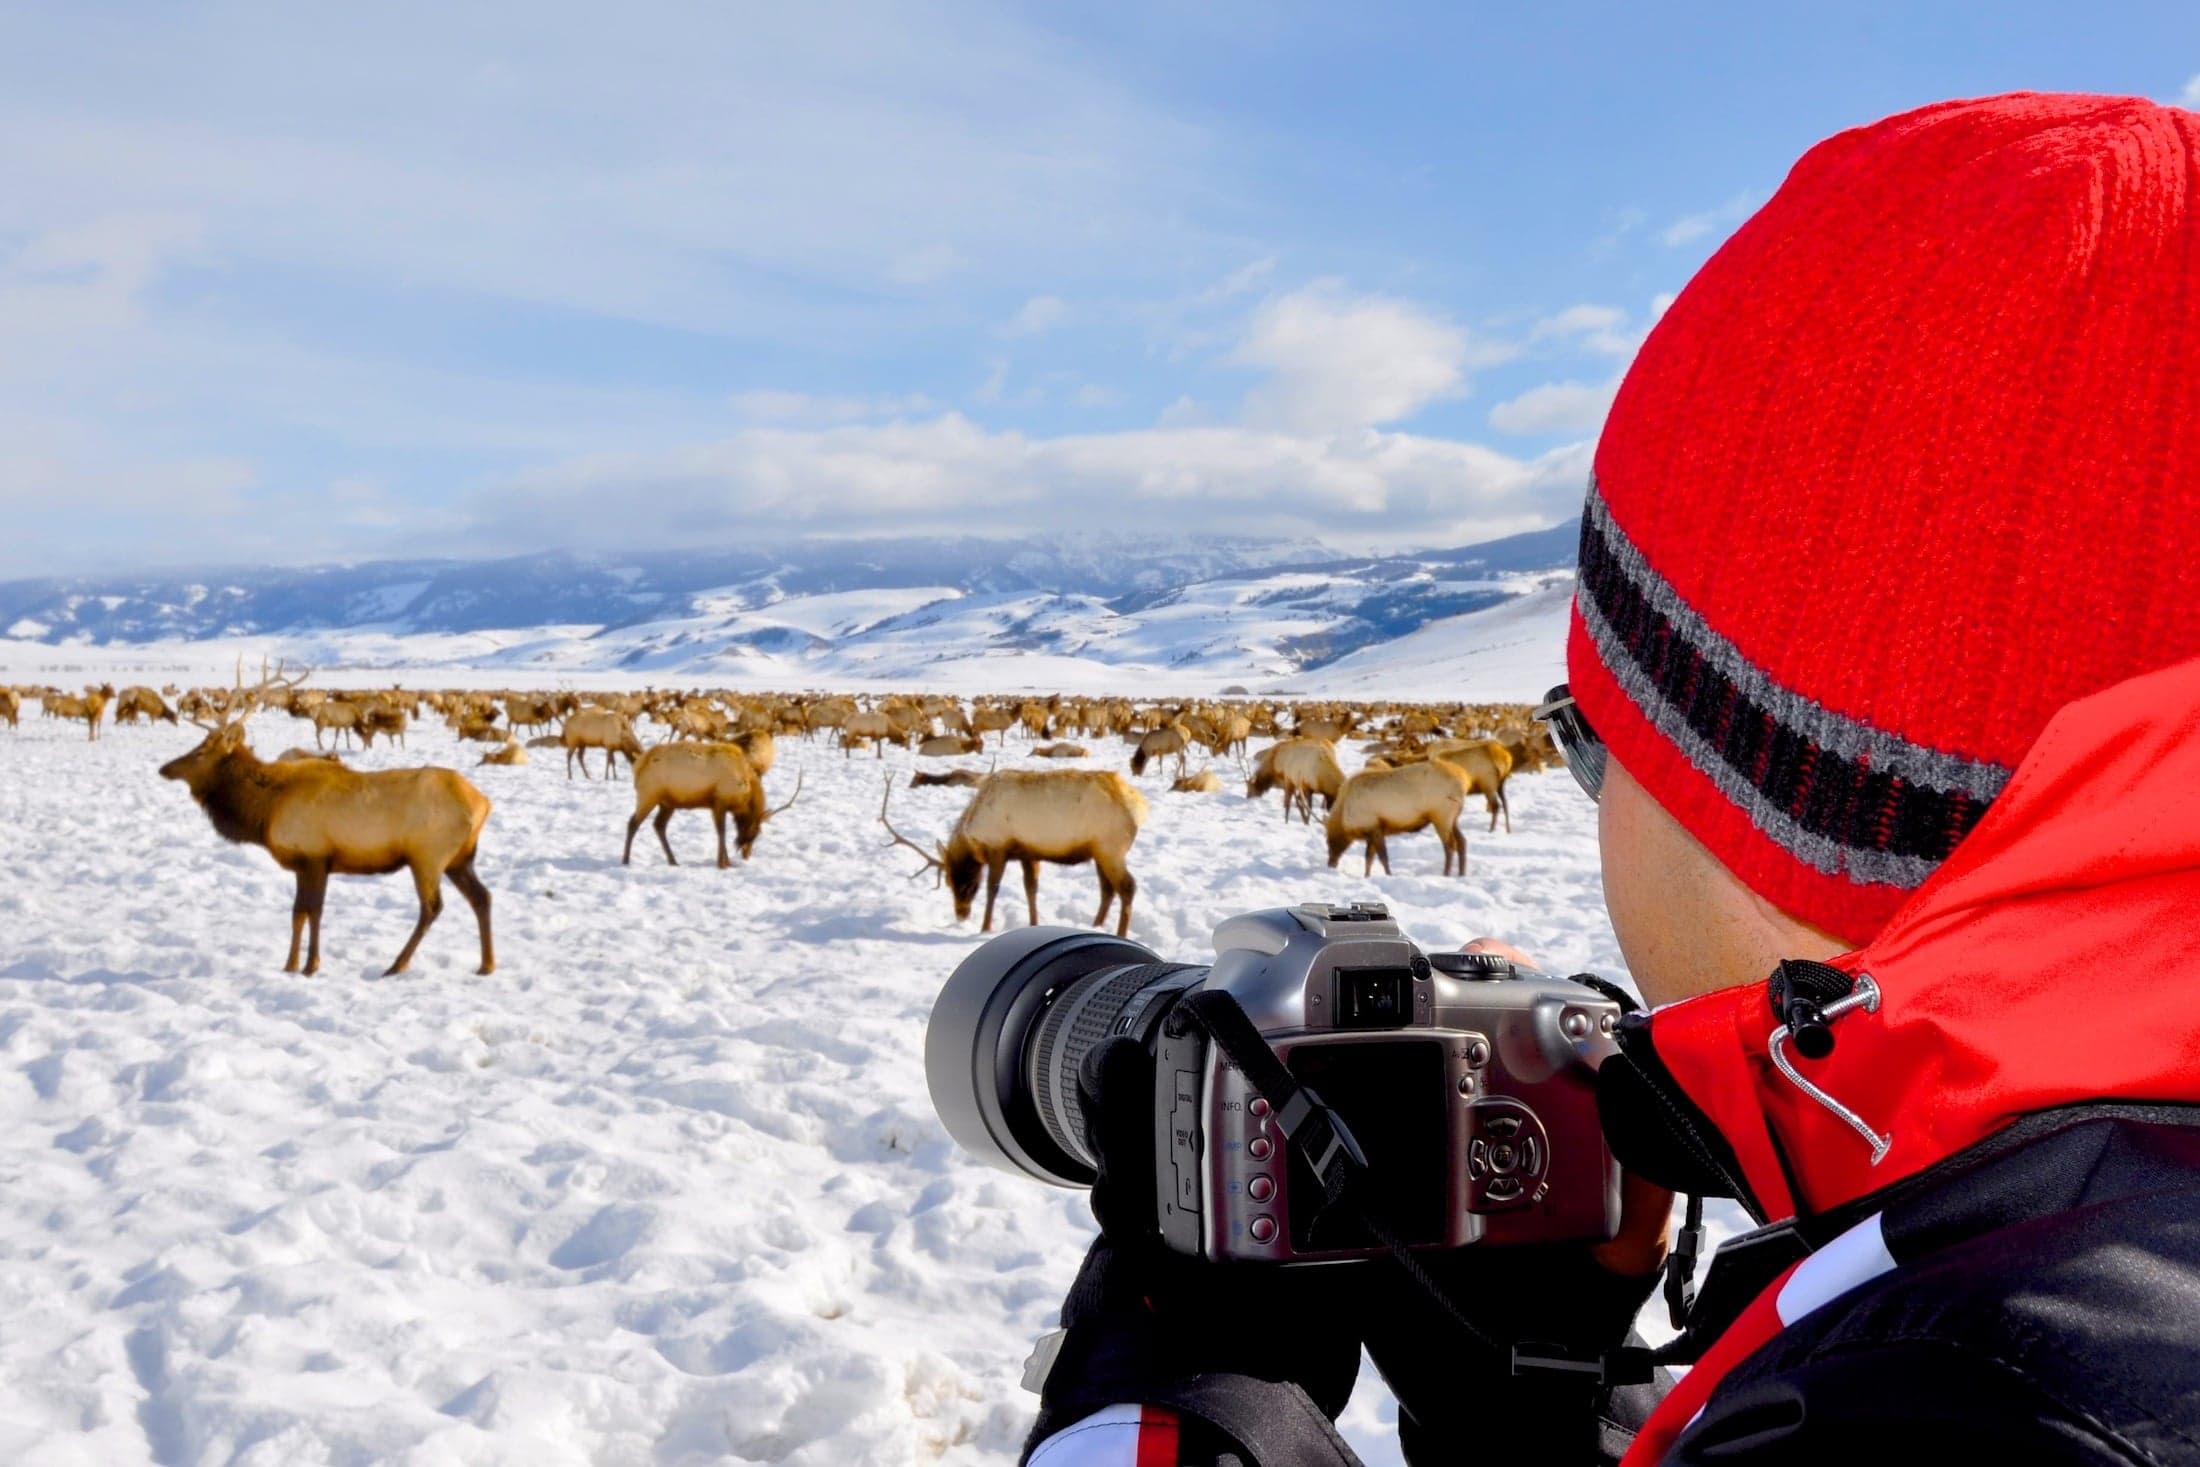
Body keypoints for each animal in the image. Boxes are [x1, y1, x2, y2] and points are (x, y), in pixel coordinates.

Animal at [159, 661, 494, 976]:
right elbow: (298, 913)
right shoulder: (302, 862)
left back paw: (397, 965)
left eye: (201, 752)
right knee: (482, 897)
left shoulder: (316, 856)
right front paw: (290, 965)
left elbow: (313, 911)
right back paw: (486, 964)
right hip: (459, 858)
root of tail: (483, 803)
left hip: (427, 855)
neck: (266, 811)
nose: (165, 768)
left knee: (432, 907)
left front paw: (310, 965)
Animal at [623, 743, 803, 868]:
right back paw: (625, 859)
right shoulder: (719, 802)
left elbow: (721, 832)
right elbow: (721, 831)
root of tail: (638, 765)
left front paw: (726, 862)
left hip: (668, 803)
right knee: (633, 822)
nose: (747, 854)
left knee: (658, 825)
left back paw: (673, 860)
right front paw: (723, 863)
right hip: (648, 796)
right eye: (757, 831)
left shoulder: (716, 805)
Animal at [881, 769, 1147, 937]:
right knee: (1107, 889)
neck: (974, 833)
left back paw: (1120, 933)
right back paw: (1096, 925)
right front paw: (1033, 922)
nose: (961, 914)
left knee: (1127, 886)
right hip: (1099, 850)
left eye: (966, 883)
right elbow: (1030, 888)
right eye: (948, 882)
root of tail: (1140, 806)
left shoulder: (998, 848)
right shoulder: (1027, 853)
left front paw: (985, 927)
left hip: (1111, 848)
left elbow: (993, 888)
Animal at [1325, 759, 1472, 878]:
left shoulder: (1374, 828)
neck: (1344, 818)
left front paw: (1389, 875)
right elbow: (1369, 858)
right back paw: (1461, 873)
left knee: (1450, 845)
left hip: (1441, 815)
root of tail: (1464, 778)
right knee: (1462, 841)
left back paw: (1446, 874)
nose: (1330, 864)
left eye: (1327, 841)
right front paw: (1367, 876)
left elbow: (1383, 857)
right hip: (1453, 818)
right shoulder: (1372, 831)